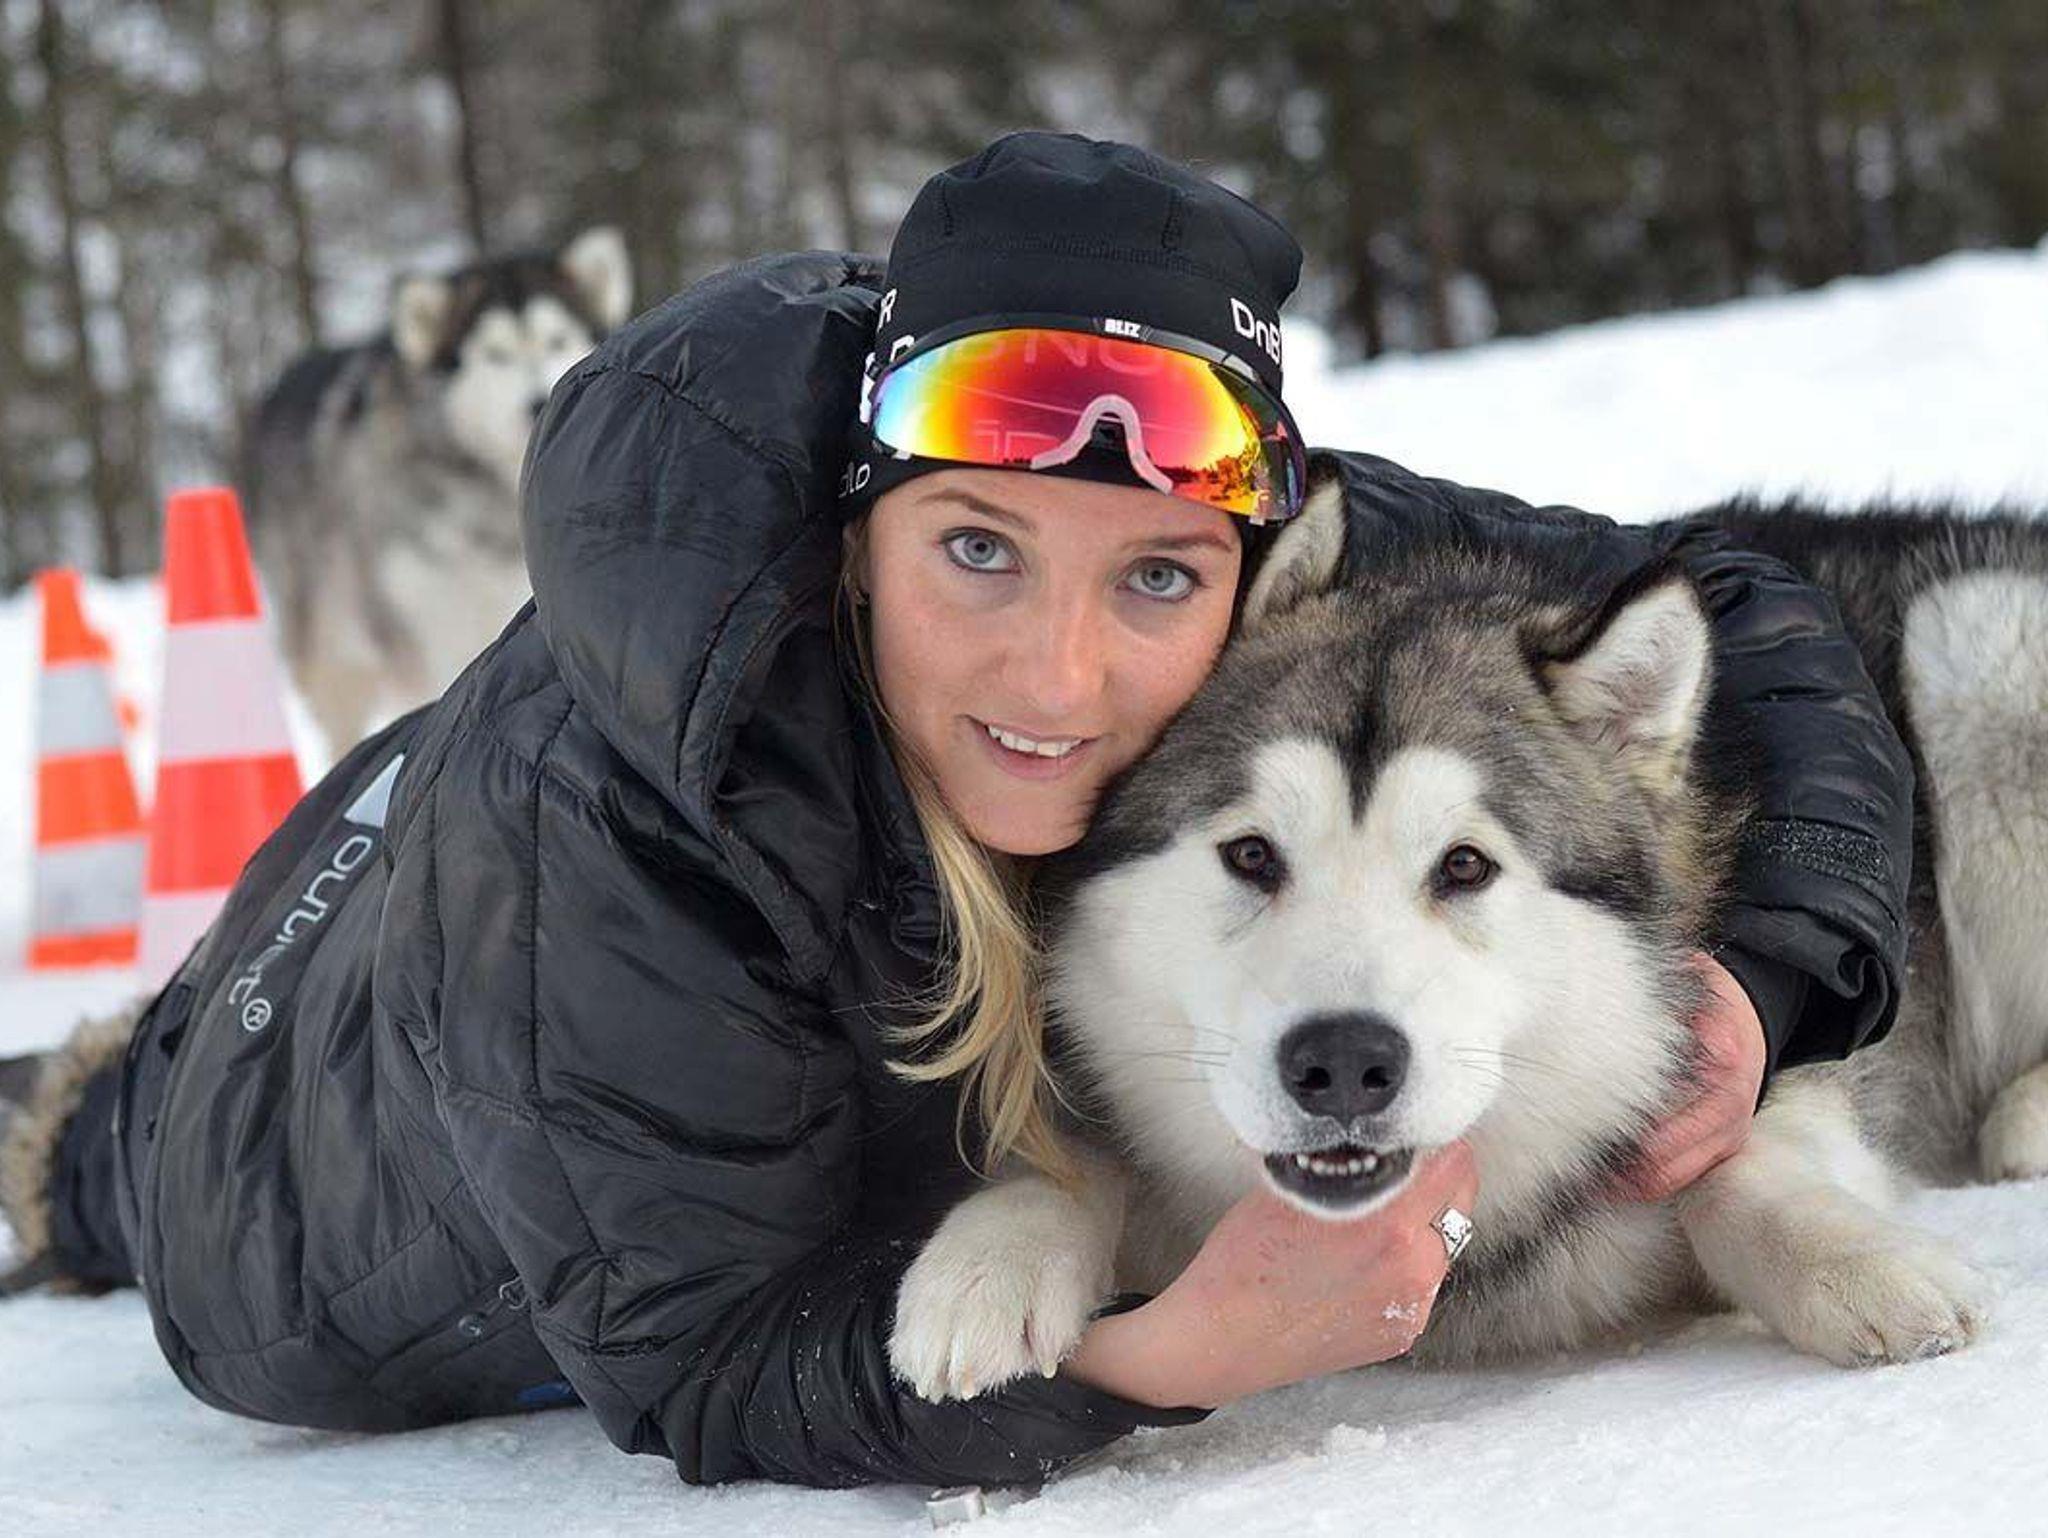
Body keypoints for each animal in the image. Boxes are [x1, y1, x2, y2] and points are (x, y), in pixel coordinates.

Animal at [889, 465, 2048, 1402]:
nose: (1341, 1062)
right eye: (1252, 854)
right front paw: (991, 1261)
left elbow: (1736, 1158)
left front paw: (1855, 1259)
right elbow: (1075, 1156)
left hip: (1975, 640)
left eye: (1463, 865)